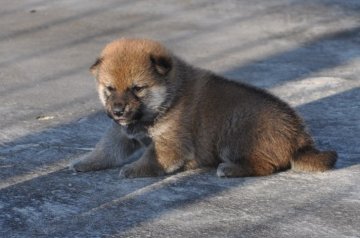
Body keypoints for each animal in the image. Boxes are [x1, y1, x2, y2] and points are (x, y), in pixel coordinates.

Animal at [69, 38, 338, 178]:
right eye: (109, 89)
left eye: (138, 88)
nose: (118, 111)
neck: (169, 97)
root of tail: (299, 137)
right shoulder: (121, 133)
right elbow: (106, 150)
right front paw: (85, 162)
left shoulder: (170, 143)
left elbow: (152, 158)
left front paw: (133, 169)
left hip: (236, 134)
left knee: (265, 166)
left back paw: (229, 169)